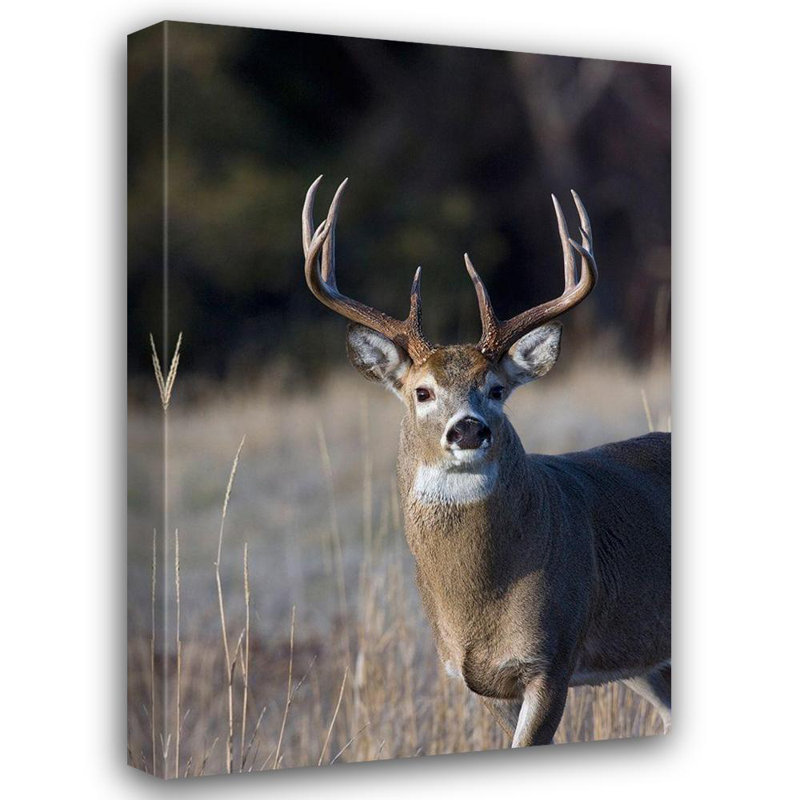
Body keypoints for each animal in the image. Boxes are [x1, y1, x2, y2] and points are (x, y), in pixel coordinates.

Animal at [301, 176, 671, 747]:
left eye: (496, 389)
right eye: (423, 391)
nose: (469, 428)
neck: (479, 604)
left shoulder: (552, 657)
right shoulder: (480, 681)